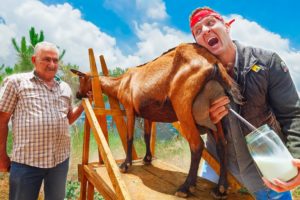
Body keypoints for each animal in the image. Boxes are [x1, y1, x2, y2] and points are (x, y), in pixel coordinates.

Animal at [71, 42, 243, 198]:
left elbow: (129, 136)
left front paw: (125, 165)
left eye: (81, 79)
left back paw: (186, 187)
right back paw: (221, 189)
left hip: (183, 106)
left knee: (196, 144)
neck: (121, 82)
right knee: (222, 144)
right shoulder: (148, 114)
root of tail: (214, 62)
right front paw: (147, 158)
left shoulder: (129, 108)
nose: (78, 94)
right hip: (215, 112)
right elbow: (147, 136)